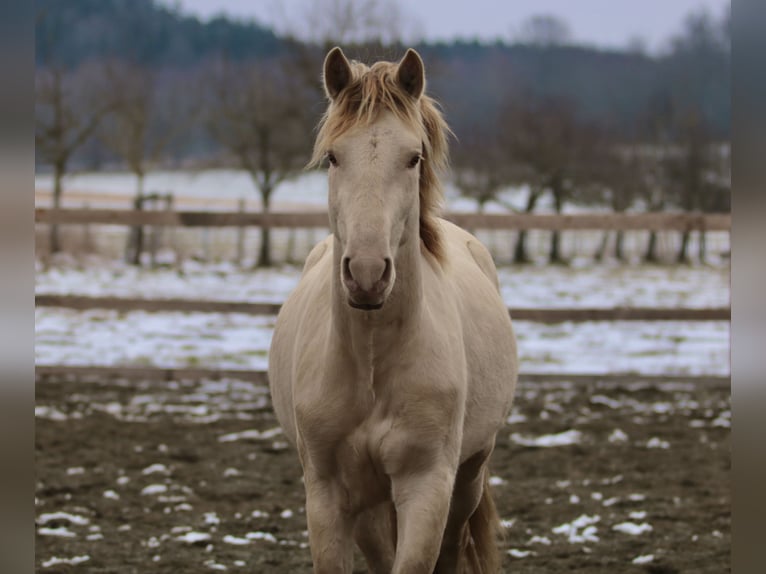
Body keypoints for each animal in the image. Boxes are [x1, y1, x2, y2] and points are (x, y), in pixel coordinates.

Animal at [268, 47, 520, 572]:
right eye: (332, 157)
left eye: (413, 157)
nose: (367, 274)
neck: (372, 361)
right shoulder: (327, 494)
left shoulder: (427, 487)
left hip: (467, 475)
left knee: (453, 545)